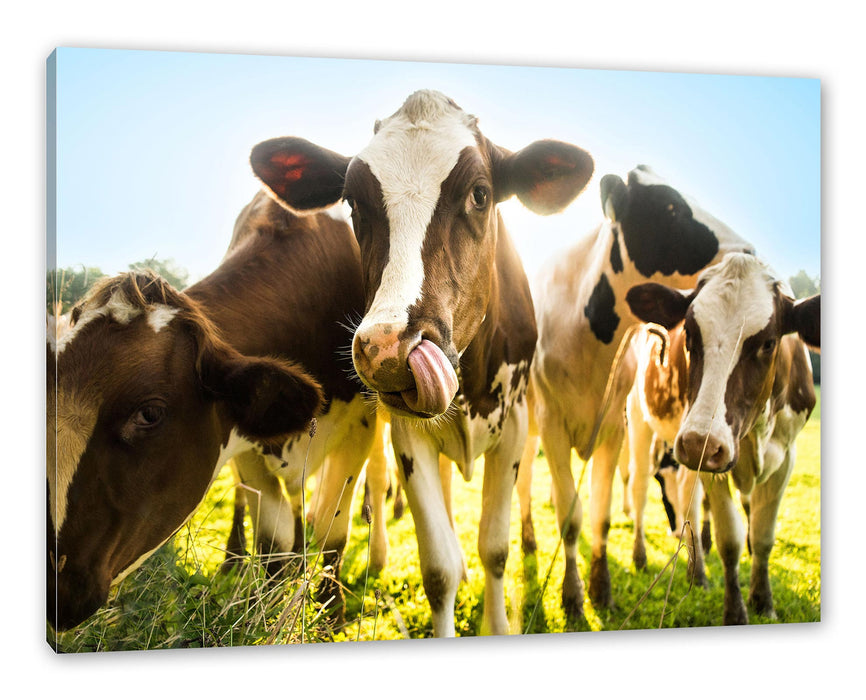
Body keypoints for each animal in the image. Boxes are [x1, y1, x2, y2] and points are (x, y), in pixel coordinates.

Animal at [47, 191, 379, 632]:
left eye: (149, 414)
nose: (55, 584)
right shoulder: (249, 441)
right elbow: (272, 539)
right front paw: (264, 603)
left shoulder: (360, 425)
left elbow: (332, 531)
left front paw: (330, 615)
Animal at [249, 89, 595, 636]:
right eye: (353, 202)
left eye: (480, 194)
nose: (388, 349)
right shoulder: (408, 436)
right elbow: (439, 568)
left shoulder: (516, 426)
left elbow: (495, 549)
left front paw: (496, 625)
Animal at [517, 165, 754, 620]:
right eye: (670, 206)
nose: (748, 251)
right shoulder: (553, 426)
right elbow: (570, 515)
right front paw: (572, 597)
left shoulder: (613, 427)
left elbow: (600, 514)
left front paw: (600, 588)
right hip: (525, 428)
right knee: (522, 485)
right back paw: (529, 540)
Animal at [626, 251, 819, 623]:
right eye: (689, 333)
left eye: (768, 343)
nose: (698, 442)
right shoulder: (710, 462)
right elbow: (729, 538)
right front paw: (736, 612)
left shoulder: (785, 457)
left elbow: (762, 534)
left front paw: (763, 600)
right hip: (644, 424)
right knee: (640, 488)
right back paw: (641, 557)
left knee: (686, 494)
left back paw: (697, 572)